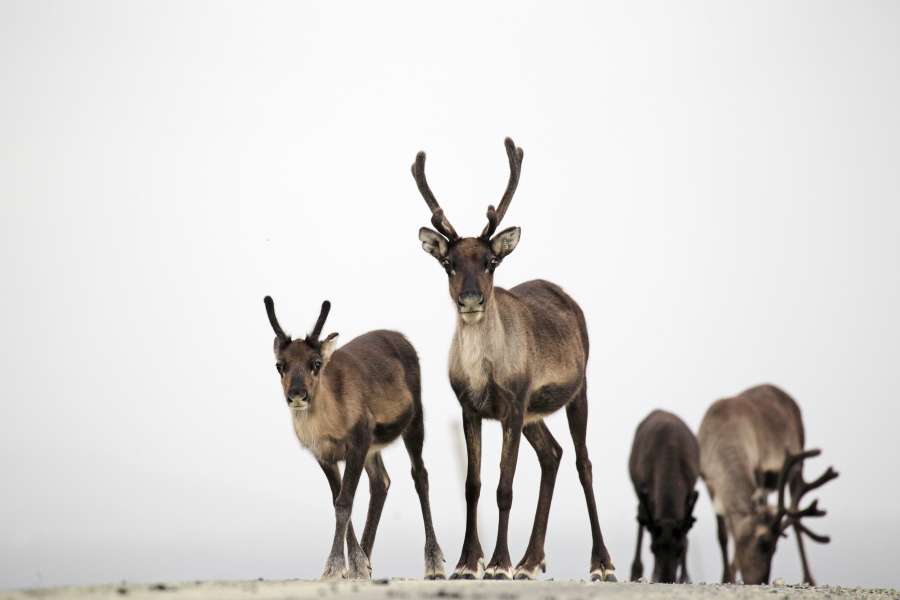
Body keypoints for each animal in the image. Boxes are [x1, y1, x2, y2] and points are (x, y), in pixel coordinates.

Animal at [263, 296, 446, 580]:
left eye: (316, 363)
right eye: (280, 365)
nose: (297, 395)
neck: (328, 425)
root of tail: (400, 336)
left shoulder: (357, 443)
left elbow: (344, 502)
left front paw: (336, 567)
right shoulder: (325, 455)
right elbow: (337, 500)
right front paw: (358, 565)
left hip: (415, 419)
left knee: (420, 475)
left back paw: (434, 563)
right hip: (374, 446)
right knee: (381, 481)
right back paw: (368, 559)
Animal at [412, 137, 617, 582]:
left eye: (490, 262)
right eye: (449, 264)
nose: (471, 299)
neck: (483, 373)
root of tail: (567, 298)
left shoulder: (514, 403)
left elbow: (504, 488)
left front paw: (498, 564)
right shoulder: (471, 408)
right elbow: (472, 485)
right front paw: (467, 563)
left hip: (576, 391)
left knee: (583, 462)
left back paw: (601, 563)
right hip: (534, 414)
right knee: (552, 455)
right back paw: (531, 560)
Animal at [697, 384, 838, 585]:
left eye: (775, 547)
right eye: (764, 544)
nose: (760, 581)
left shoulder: (757, 468)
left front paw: (731, 573)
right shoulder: (709, 481)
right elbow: (723, 534)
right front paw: (726, 576)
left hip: (797, 464)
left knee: (796, 515)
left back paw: (809, 579)